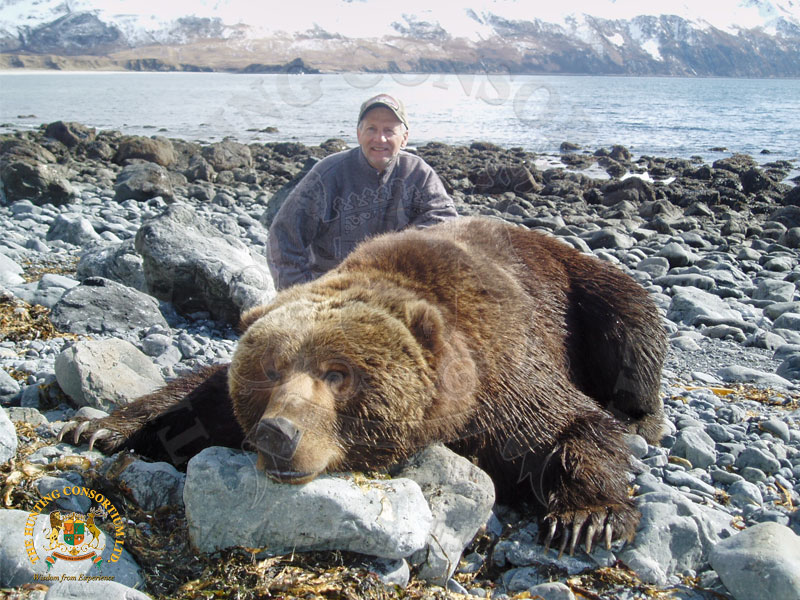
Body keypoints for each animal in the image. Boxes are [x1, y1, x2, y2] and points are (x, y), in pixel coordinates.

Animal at [60, 216, 666, 556]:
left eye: (339, 374)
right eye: (271, 369)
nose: (278, 433)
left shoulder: (505, 367)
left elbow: (572, 423)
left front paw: (586, 518)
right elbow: (196, 398)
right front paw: (99, 427)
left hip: (586, 290)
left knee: (632, 327)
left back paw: (645, 415)